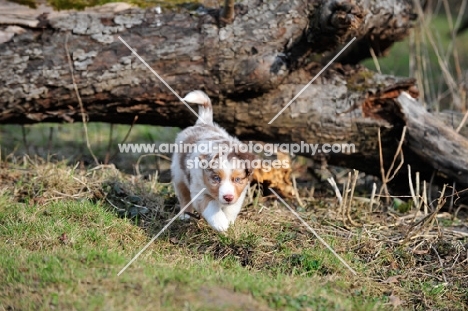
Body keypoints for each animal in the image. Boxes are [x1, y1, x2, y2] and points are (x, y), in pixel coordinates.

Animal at [171, 91, 254, 233]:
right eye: (216, 178)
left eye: (237, 179)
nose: (228, 197)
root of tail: (203, 123)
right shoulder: (198, 192)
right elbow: (211, 205)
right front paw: (220, 223)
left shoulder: (239, 194)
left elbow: (231, 209)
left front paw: (229, 223)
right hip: (179, 176)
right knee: (184, 197)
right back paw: (185, 216)